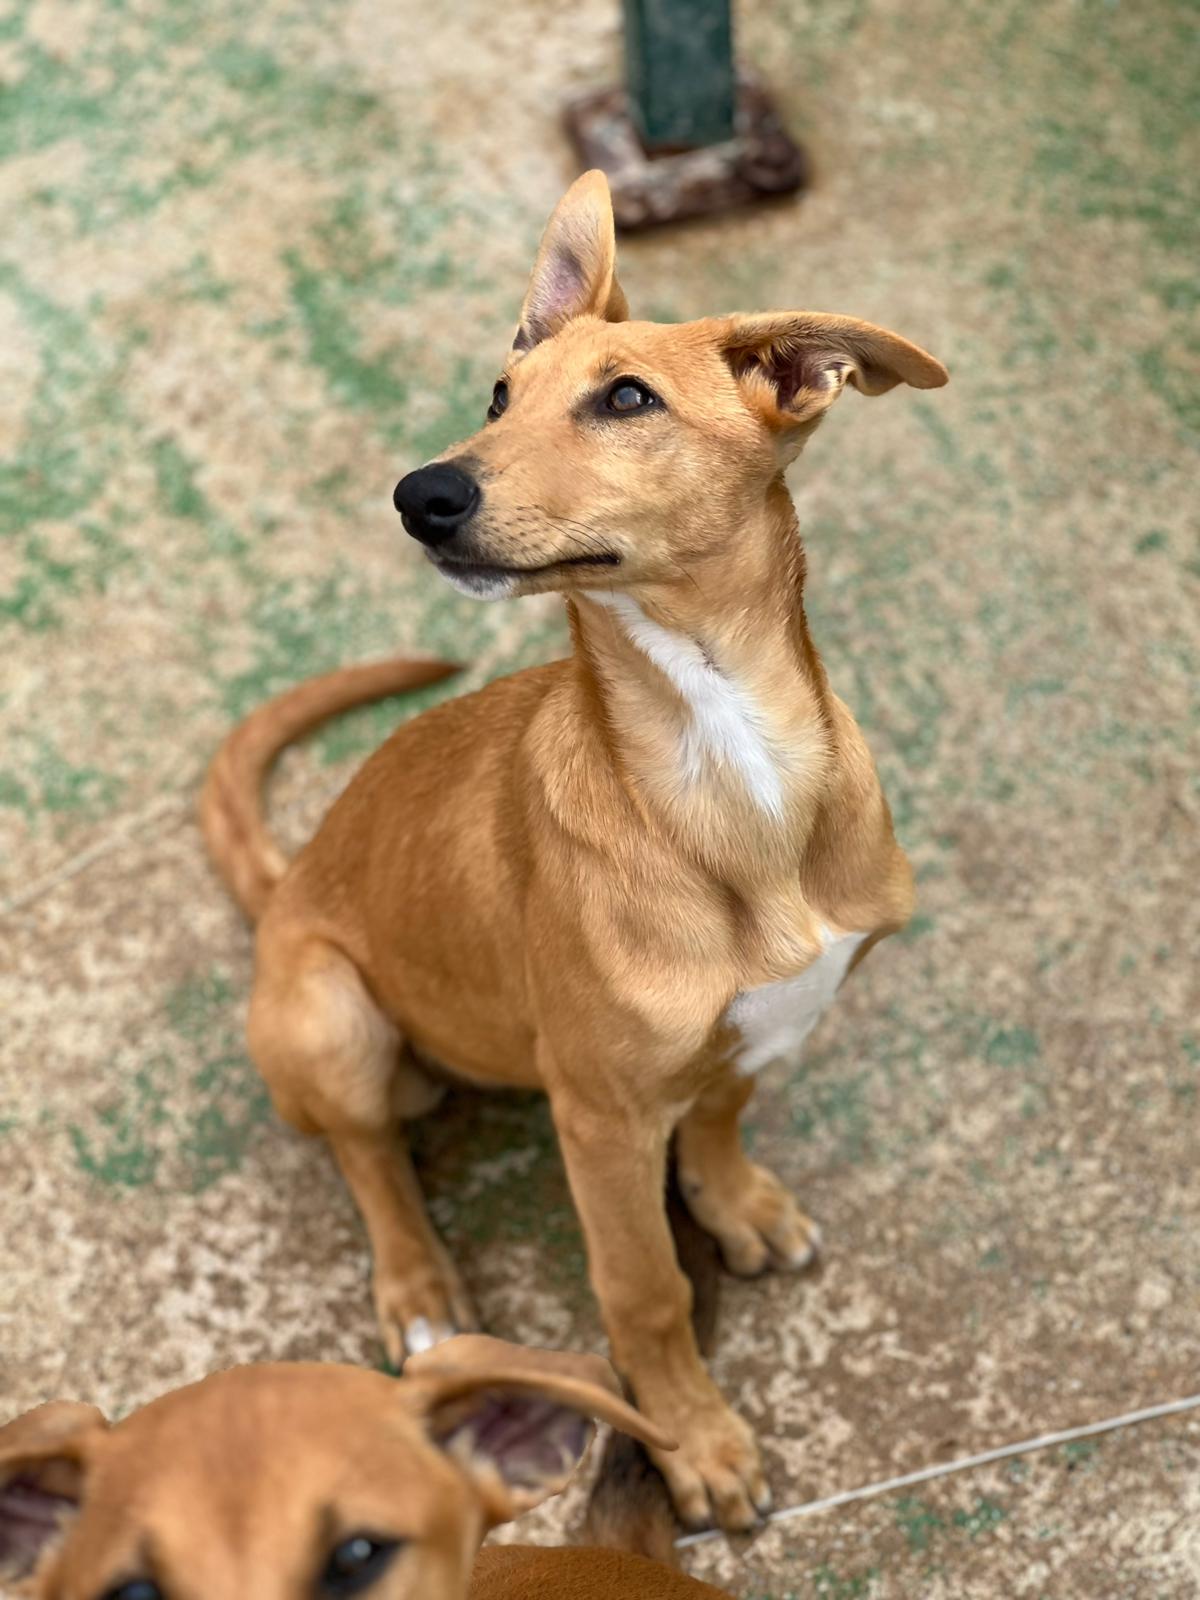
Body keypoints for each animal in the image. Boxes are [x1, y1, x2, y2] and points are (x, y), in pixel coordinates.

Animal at [201, 168, 948, 1531]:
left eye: (627, 398)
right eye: (498, 395)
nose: (422, 494)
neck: (726, 763)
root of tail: (285, 887)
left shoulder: (774, 1017)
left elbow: (720, 1112)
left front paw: (731, 1197)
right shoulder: (598, 1117)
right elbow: (646, 1292)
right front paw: (693, 1439)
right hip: (331, 1011)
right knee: (367, 1156)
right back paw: (421, 1291)